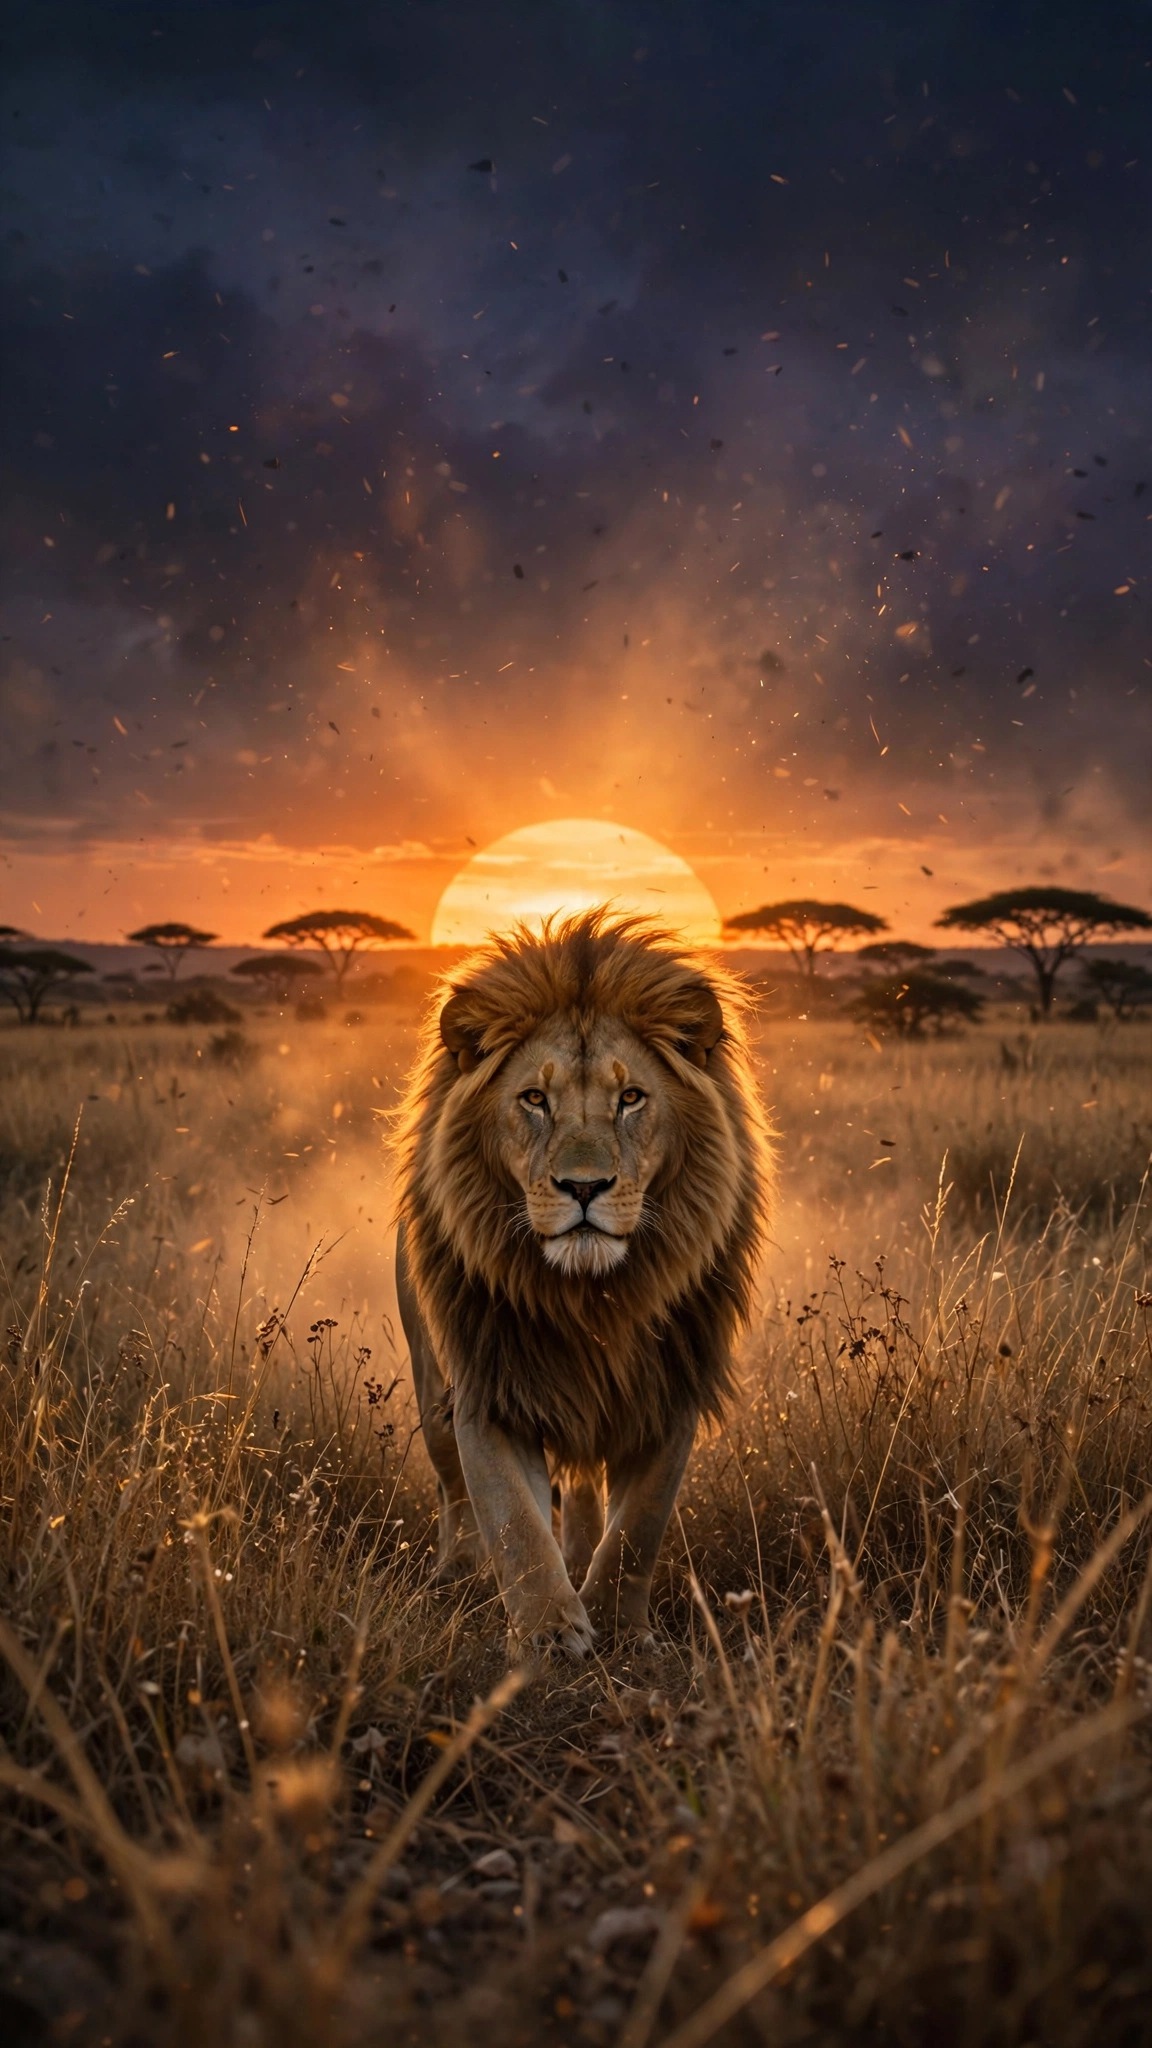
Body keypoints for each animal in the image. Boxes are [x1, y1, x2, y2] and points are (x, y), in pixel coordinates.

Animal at [393, 910, 774, 1656]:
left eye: (630, 1099)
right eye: (535, 1100)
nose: (584, 1186)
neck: (589, 1298)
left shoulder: (670, 1391)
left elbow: (639, 1527)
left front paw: (620, 1630)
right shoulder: (488, 1389)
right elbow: (513, 1524)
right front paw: (546, 1634)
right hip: (430, 1381)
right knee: (455, 1492)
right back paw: (458, 1573)